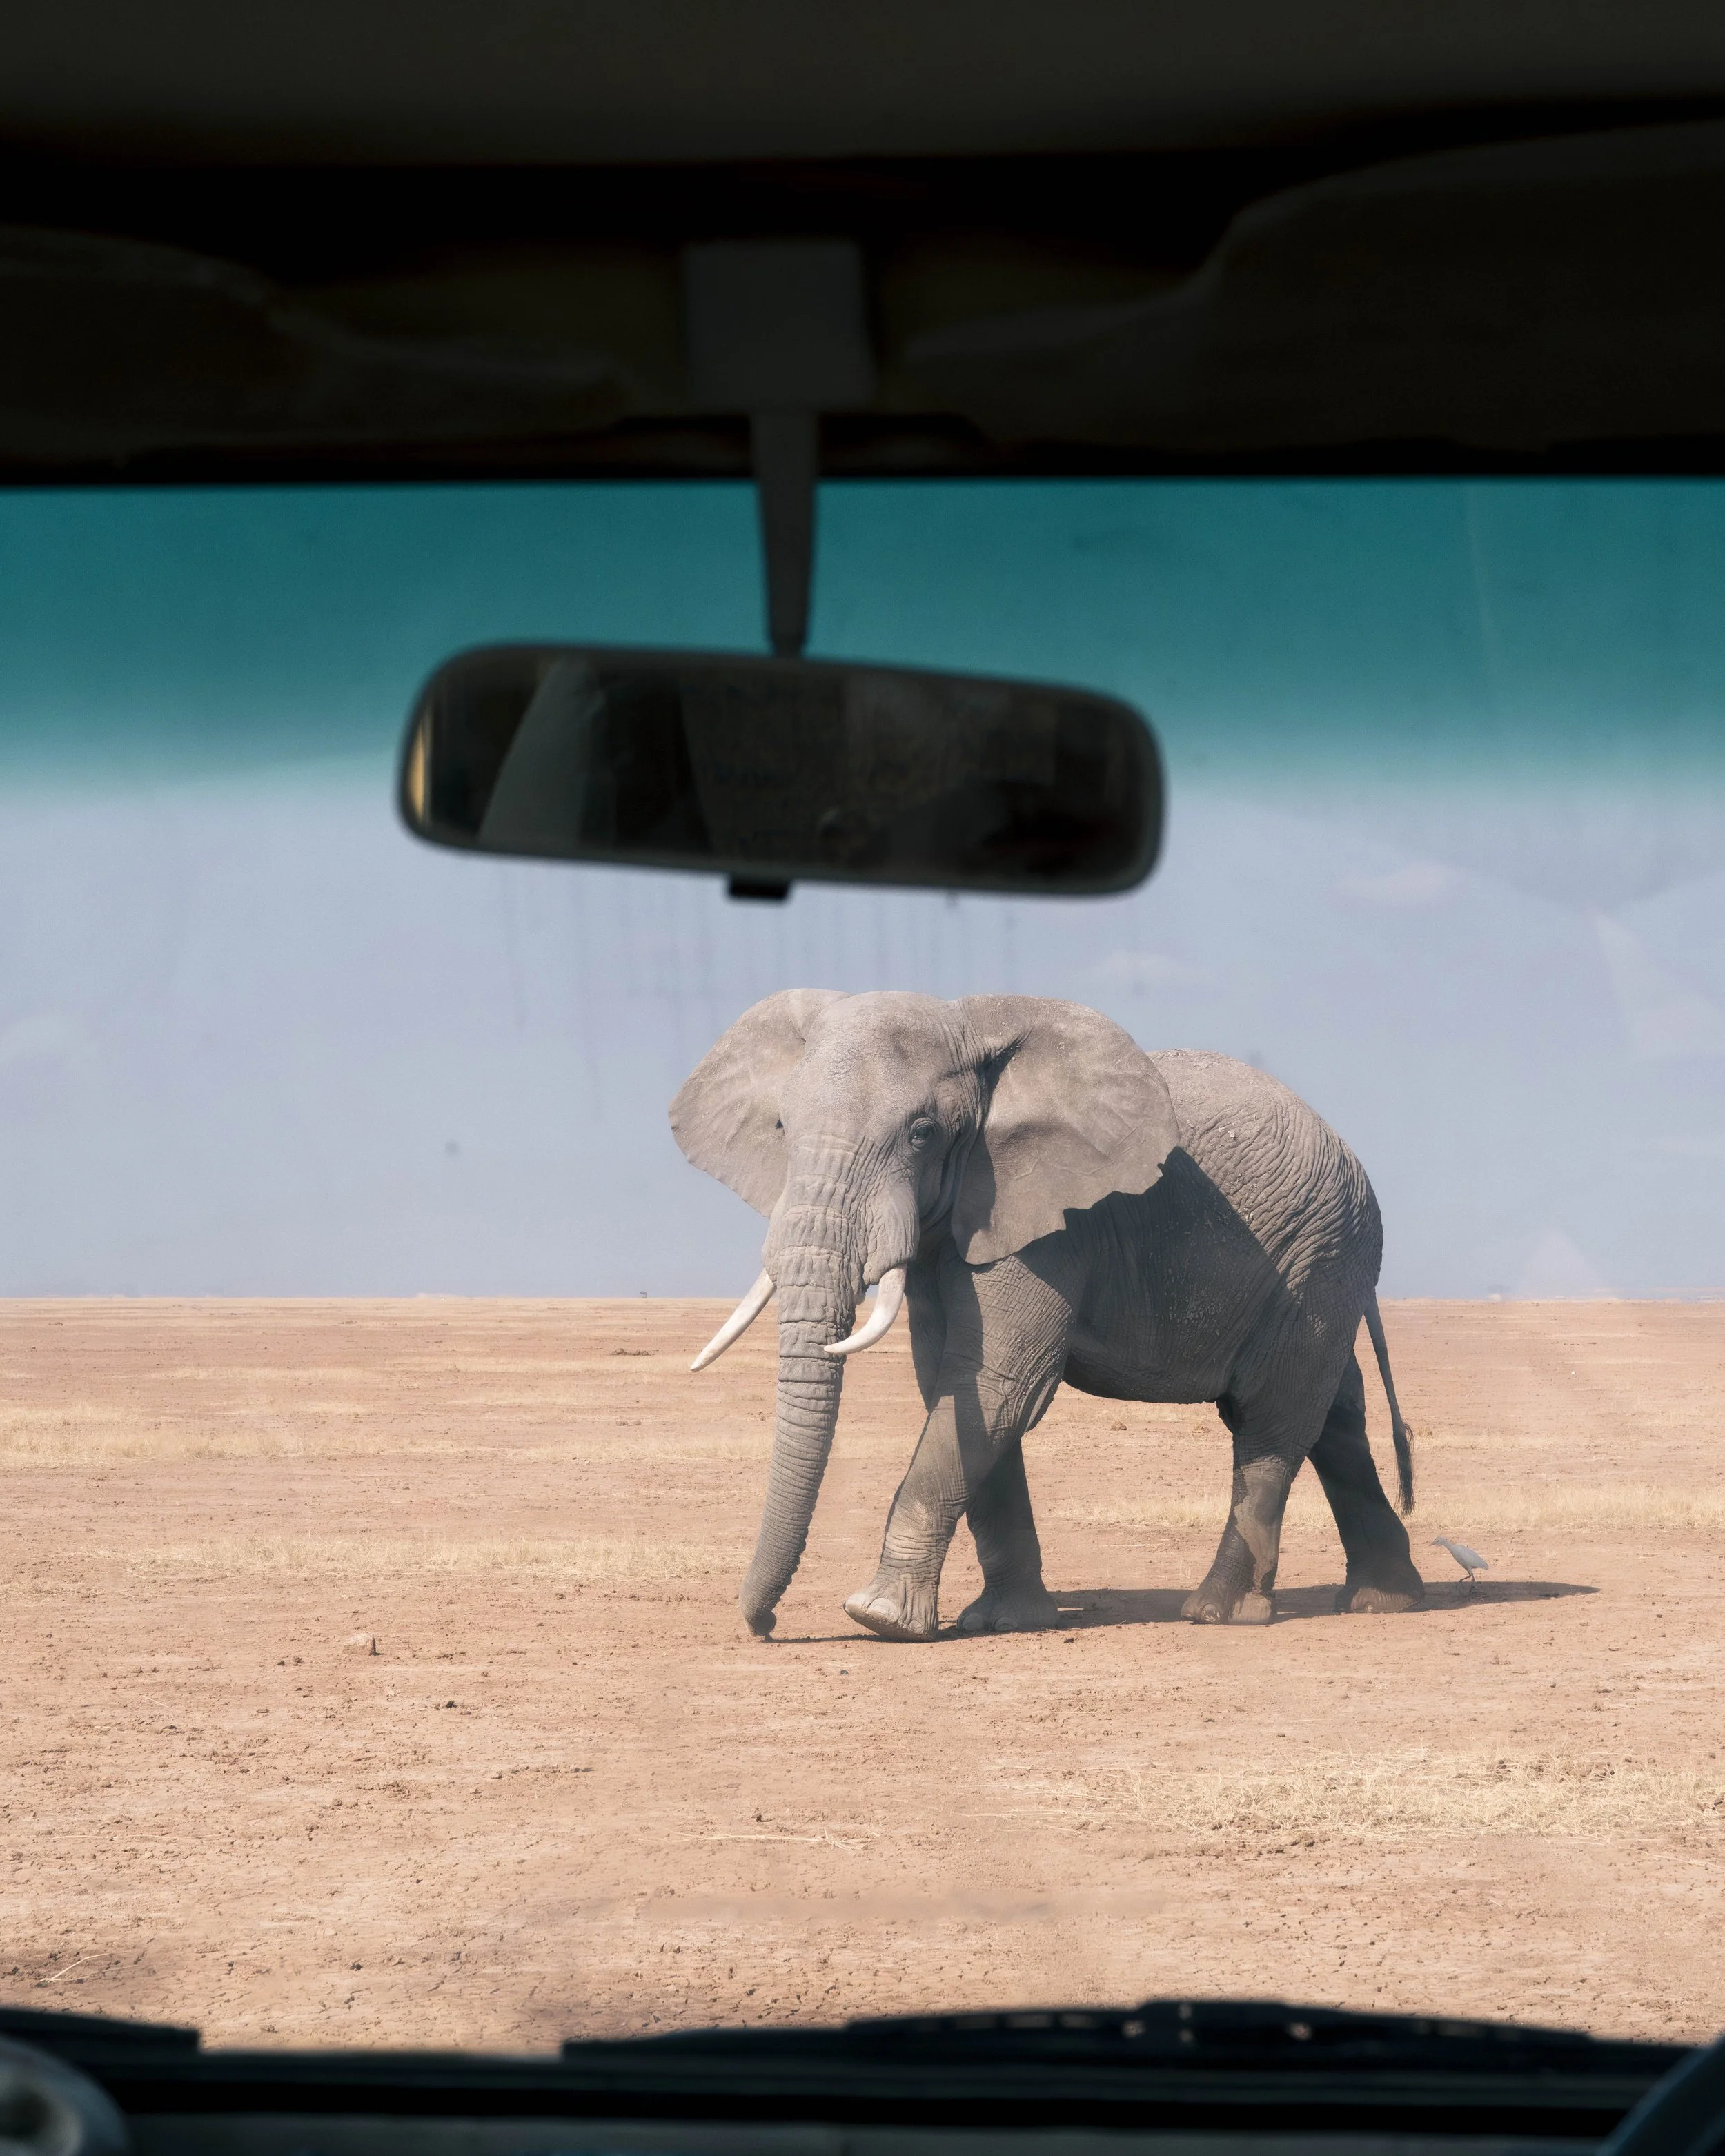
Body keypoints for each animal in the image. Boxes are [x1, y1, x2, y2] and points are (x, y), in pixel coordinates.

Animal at [669, 989, 1424, 1642]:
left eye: (922, 1133)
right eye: (782, 1127)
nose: (765, 1625)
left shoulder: (1051, 1224)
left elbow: (999, 1380)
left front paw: (878, 1616)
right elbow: (958, 1389)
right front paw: (1003, 1620)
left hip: (1321, 1255)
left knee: (1272, 1419)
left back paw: (1218, 1612)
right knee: (1334, 1419)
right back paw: (1384, 1601)